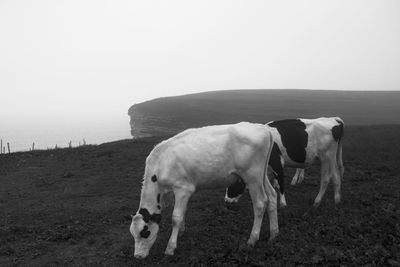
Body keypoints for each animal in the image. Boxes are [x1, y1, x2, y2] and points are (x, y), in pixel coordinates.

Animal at [130, 123, 278, 260]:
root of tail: (262, 128)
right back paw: (273, 234)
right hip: (262, 176)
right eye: (133, 234)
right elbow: (183, 212)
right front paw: (181, 231)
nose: (137, 256)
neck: (162, 163)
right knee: (272, 196)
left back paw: (252, 239)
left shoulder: (183, 188)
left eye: (145, 232)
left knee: (260, 203)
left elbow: (176, 217)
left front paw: (170, 247)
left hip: (252, 177)